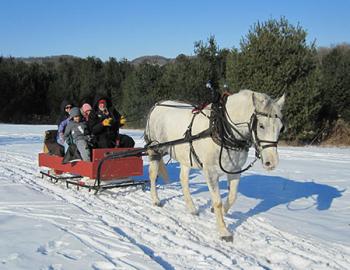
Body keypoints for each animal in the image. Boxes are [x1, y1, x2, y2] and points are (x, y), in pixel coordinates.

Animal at [145, 90, 284, 240]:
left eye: (281, 128)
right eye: (261, 125)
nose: (272, 162)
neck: (223, 130)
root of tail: (157, 105)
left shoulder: (235, 170)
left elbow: (232, 196)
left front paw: (221, 212)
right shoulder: (210, 172)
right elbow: (217, 202)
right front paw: (224, 231)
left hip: (186, 157)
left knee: (183, 180)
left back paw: (192, 208)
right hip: (155, 150)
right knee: (152, 175)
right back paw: (156, 200)